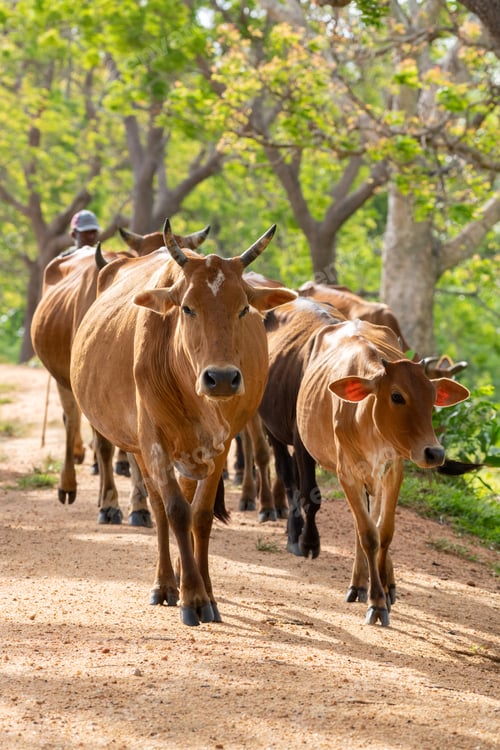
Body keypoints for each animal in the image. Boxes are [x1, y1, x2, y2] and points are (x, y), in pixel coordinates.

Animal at [30, 224, 209, 526]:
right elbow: (105, 446)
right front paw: (110, 504)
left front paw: (139, 505)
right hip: (64, 381)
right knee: (72, 421)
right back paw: (70, 486)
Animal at [70, 220, 297, 625]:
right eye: (188, 308)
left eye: (243, 309)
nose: (221, 378)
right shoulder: (154, 443)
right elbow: (174, 511)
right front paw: (191, 596)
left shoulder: (219, 446)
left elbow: (200, 516)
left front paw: (207, 593)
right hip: (140, 448)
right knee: (160, 509)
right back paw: (165, 583)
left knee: (189, 508)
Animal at [295, 317, 469, 625]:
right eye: (397, 396)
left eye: (433, 397)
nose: (435, 453)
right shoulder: (347, 473)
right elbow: (368, 534)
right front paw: (376, 602)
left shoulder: (393, 469)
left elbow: (384, 531)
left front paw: (384, 591)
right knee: (363, 528)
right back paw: (359, 586)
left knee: (376, 522)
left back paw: (385, 585)